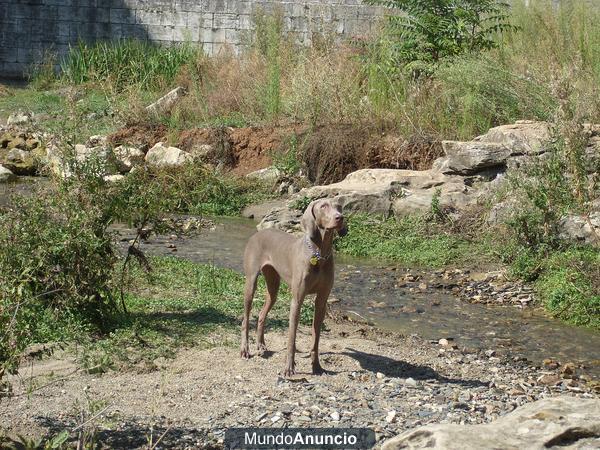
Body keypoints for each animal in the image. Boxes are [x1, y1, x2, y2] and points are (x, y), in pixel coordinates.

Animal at [240, 199, 346, 378]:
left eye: (339, 206)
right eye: (323, 206)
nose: (340, 218)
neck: (319, 255)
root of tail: (258, 233)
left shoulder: (322, 301)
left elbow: (316, 338)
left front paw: (316, 366)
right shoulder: (297, 300)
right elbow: (292, 337)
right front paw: (289, 368)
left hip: (273, 286)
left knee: (261, 314)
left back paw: (261, 344)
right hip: (251, 282)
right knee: (246, 319)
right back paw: (245, 349)